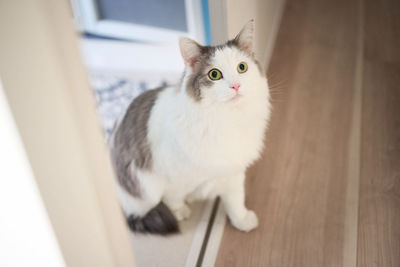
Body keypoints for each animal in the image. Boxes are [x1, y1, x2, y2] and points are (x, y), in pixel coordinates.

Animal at [111, 19, 270, 236]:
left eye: (242, 67)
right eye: (214, 74)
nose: (236, 86)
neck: (226, 120)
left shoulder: (234, 171)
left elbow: (236, 201)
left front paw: (242, 220)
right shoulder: (169, 175)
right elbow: (173, 197)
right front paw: (180, 211)